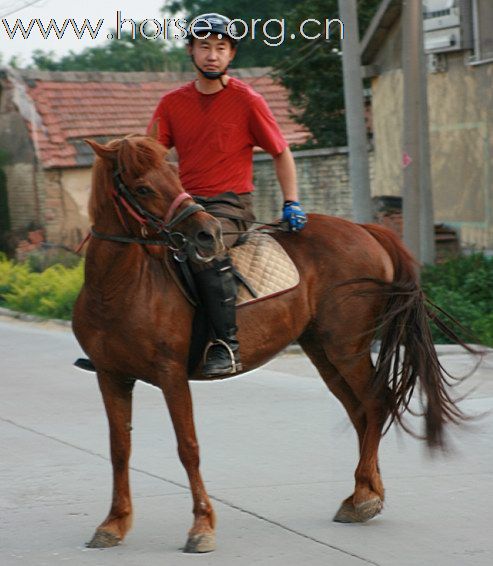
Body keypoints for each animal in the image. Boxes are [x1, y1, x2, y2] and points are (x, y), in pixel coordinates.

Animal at [72, 136, 466, 556]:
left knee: (376, 403)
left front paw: (201, 527)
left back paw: (363, 499)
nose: (207, 234)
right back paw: (364, 494)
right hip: (323, 352)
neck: (119, 287)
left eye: (174, 175)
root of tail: (364, 230)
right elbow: (119, 449)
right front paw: (113, 523)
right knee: (360, 412)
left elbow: (188, 447)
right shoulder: (111, 377)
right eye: (143, 187)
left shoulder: (171, 374)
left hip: (348, 347)